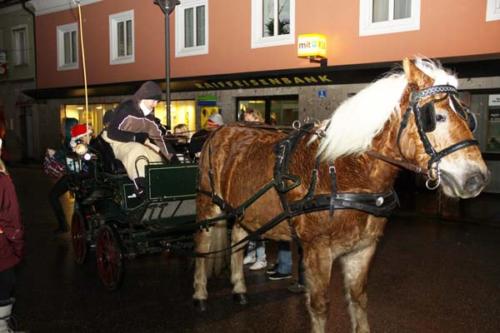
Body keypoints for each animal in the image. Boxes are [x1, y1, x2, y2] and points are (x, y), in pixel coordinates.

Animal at [191, 57, 488, 332]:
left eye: (468, 117)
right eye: (436, 117)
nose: (477, 177)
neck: (348, 171)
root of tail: (220, 131)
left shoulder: (363, 249)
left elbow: (358, 300)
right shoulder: (318, 251)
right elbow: (320, 306)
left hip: (244, 210)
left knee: (238, 240)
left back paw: (239, 289)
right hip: (208, 204)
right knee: (203, 245)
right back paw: (200, 294)